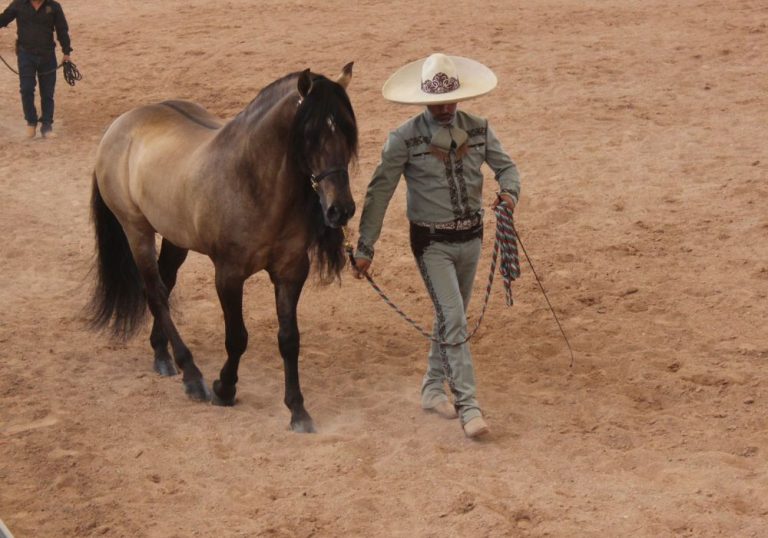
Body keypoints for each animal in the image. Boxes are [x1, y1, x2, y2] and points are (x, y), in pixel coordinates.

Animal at [88, 63, 357, 433]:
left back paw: (162, 355)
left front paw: (297, 410)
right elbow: (237, 337)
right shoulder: (229, 275)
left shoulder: (290, 272)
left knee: (165, 286)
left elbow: (289, 340)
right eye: (310, 135)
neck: (252, 183)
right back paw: (191, 375)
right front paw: (224, 389)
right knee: (155, 293)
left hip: (175, 239)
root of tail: (120, 124)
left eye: (346, 132)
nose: (340, 210)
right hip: (137, 231)